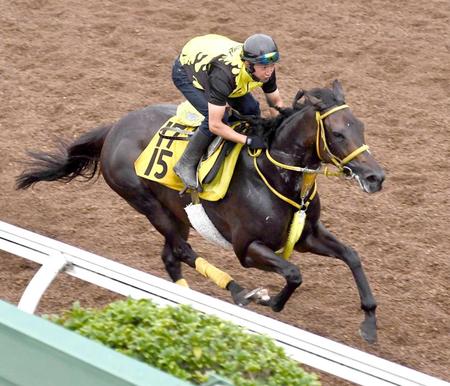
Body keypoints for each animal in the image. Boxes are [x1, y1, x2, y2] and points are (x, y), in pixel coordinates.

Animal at [16, 80, 384, 342]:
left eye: (360, 127)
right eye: (337, 133)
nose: (375, 177)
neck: (274, 173)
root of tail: (114, 129)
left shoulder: (306, 235)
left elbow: (351, 256)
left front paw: (369, 323)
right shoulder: (247, 249)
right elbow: (294, 274)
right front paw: (269, 301)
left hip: (177, 213)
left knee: (170, 256)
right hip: (148, 204)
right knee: (181, 250)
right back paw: (238, 290)